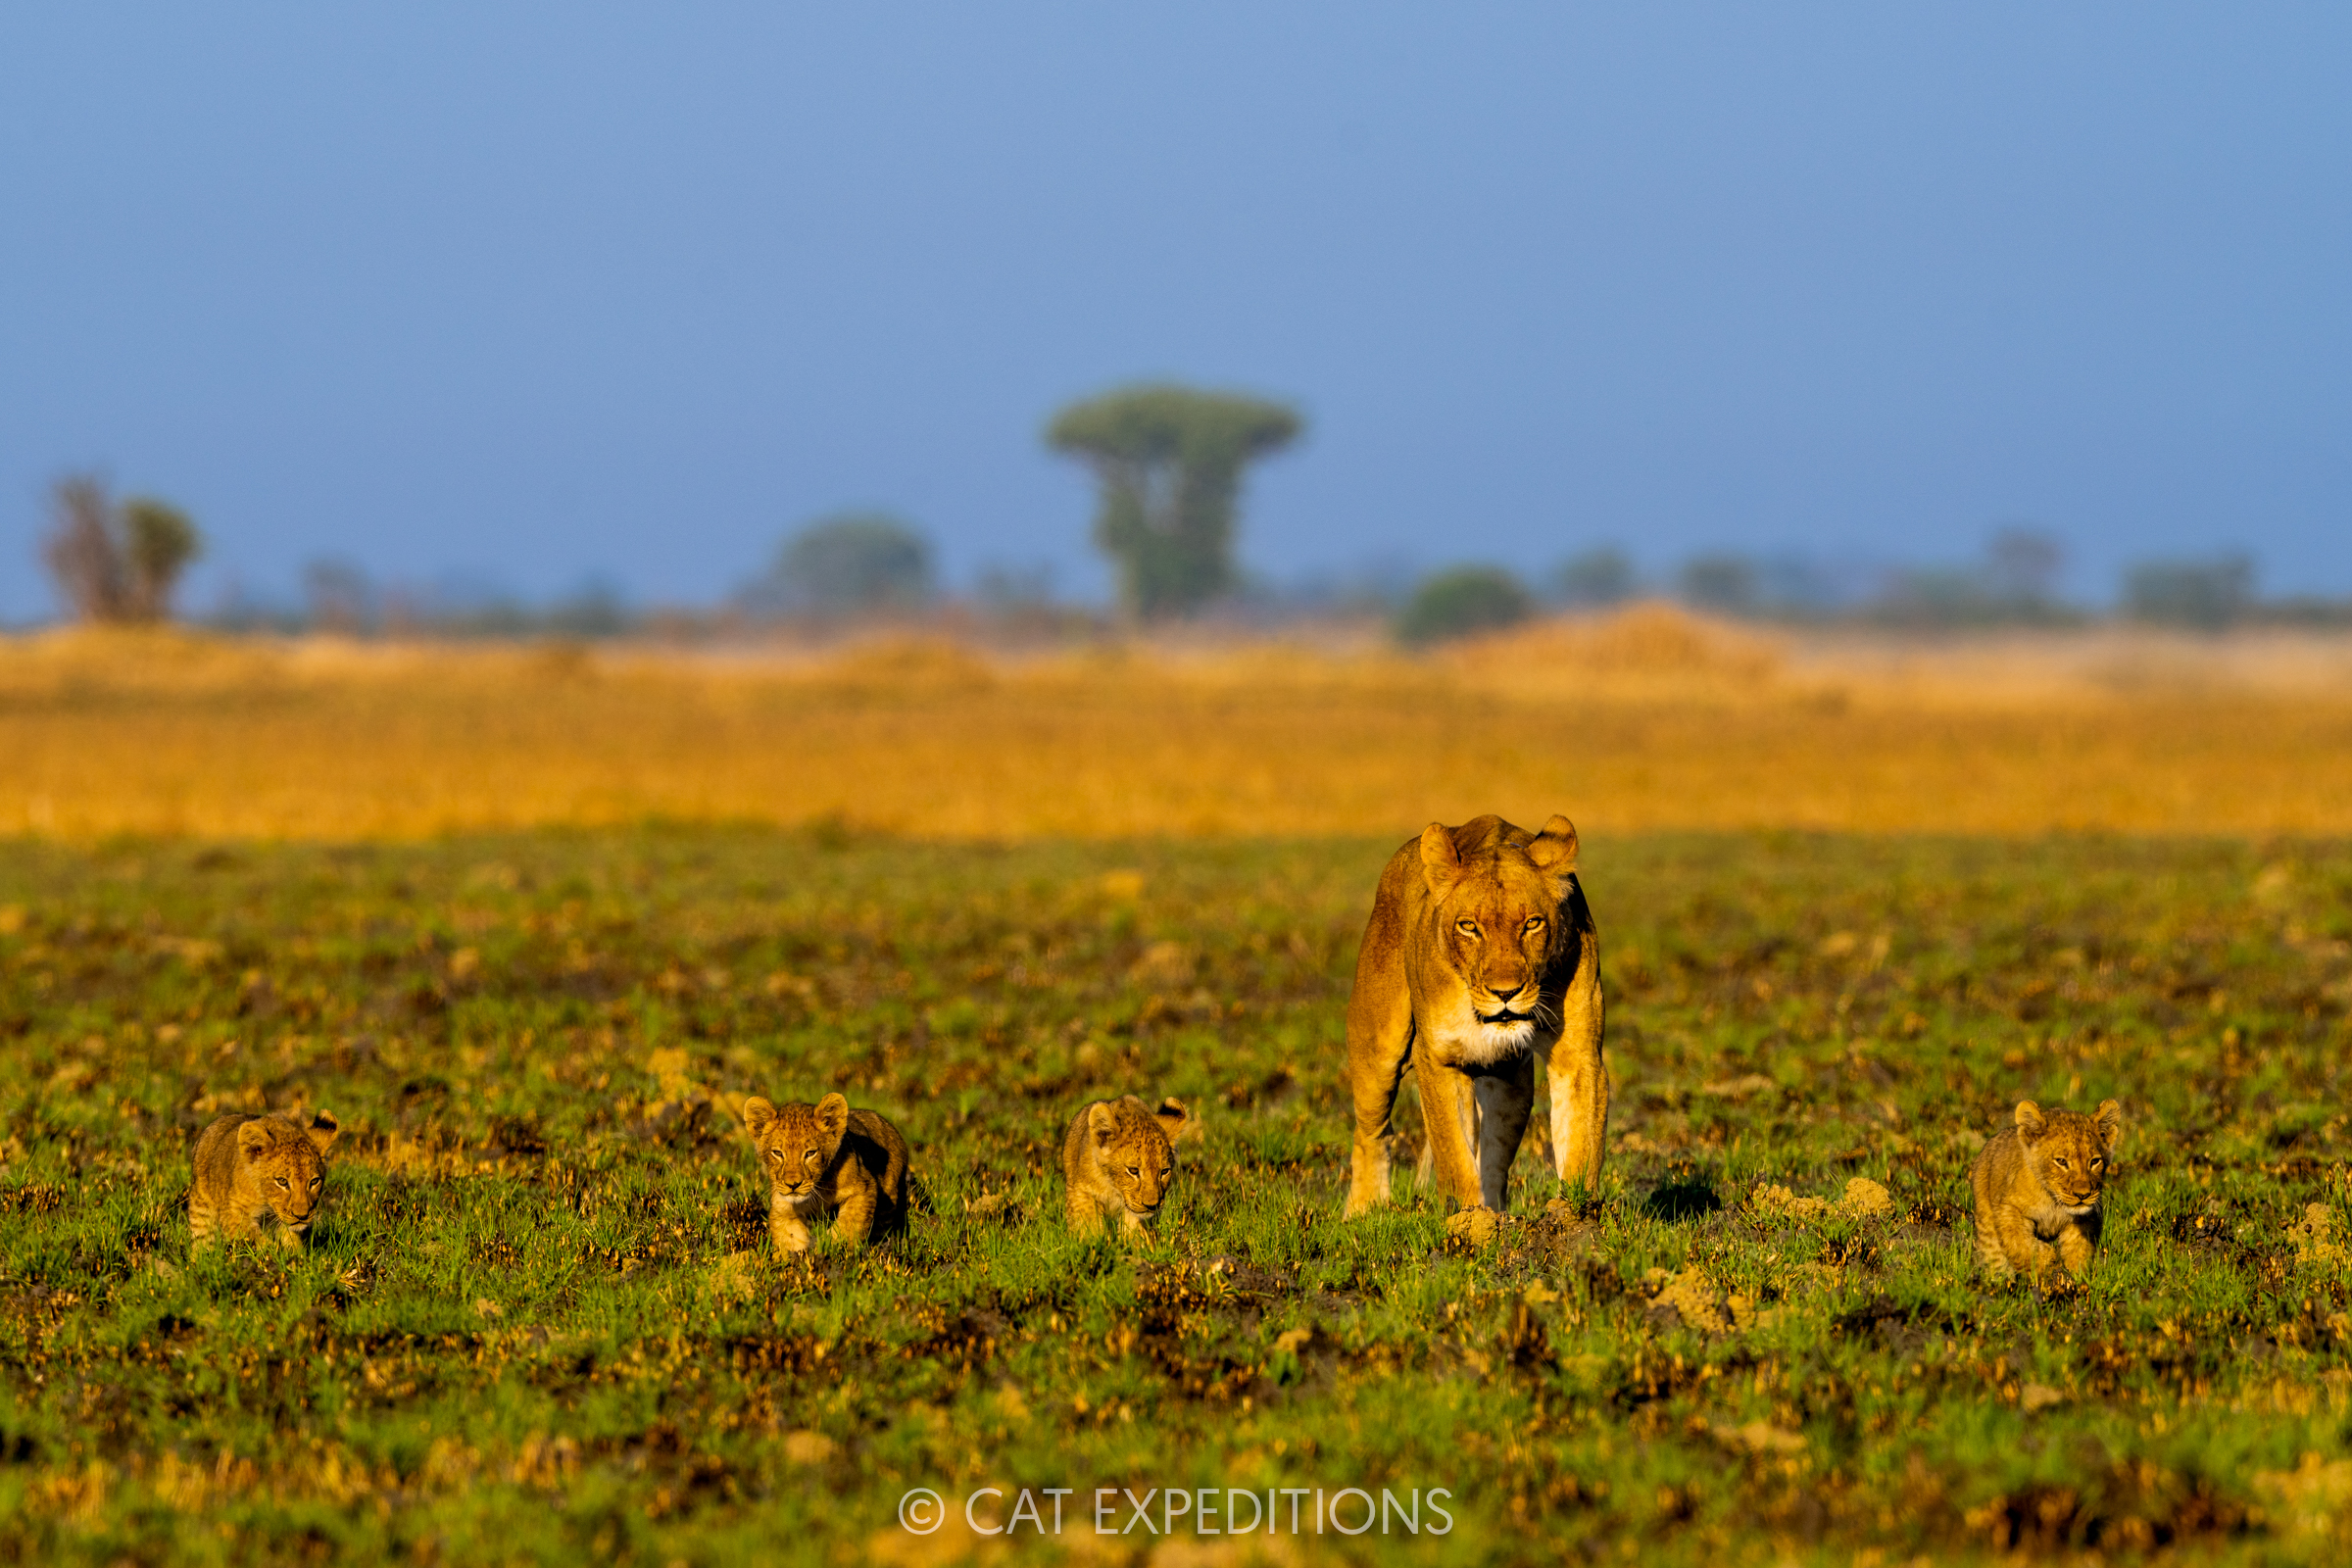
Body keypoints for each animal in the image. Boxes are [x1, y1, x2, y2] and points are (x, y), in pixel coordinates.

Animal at [189, 1110, 340, 1249]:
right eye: (282, 1181)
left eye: (314, 1181)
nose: (301, 1216)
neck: (267, 1201)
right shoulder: (233, 1214)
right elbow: (257, 1241)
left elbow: (291, 1240)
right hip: (201, 1209)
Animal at [740, 1092, 912, 1252]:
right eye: (777, 1153)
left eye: (810, 1153)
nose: (793, 1185)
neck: (818, 1189)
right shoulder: (784, 1209)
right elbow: (790, 1243)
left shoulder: (863, 1189)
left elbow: (848, 1227)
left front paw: (833, 1250)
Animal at [1062, 1096, 1190, 1236]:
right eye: (1133, 1170)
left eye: (1164, 1171)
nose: (1152, 1206)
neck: (1113, 1189)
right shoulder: (1080, 1192)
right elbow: (1088, 1224)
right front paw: (1092, 1239)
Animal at [1344, 814, 1605, 1219]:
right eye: (1468, 926)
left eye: (1532, 923)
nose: (1505, 993)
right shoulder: (1439, 1058)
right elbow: (1453, 1154)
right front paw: (1466, 1220)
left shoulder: (1578, 1053)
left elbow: (1580, 1139)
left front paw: (1573, 1214)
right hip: (1378, 1045)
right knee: (1372, 1131)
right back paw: (1363, 1209)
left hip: (1509, 1085)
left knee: (1493, 1158)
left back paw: (1498, 1215)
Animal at [1969, 1098, 2123, 1281]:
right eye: (2061, 1161)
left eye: (2094, 1161)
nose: (2083, 1195)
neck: (2053, 1201)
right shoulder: (2008, 1209)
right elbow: (2019, 1243)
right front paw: (2047, 1264)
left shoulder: (2086, 1218)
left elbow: (2078, 1251)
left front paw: (2076, 1279)